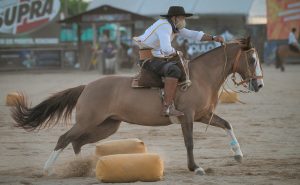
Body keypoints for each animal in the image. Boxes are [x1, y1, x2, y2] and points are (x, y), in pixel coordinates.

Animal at [11, 36, 264, 176]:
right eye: (252, 59)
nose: (259, 84)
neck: (200, 77)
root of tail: (87, 86)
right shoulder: (188, 117)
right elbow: (190, 143)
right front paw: (196, 168)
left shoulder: (204, 115)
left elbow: (227, 124)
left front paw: (238, 154)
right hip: (88, 122)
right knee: (64, 139)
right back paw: (48, 169)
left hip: (106, 126)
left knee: (76, 142)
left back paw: (80, 168)